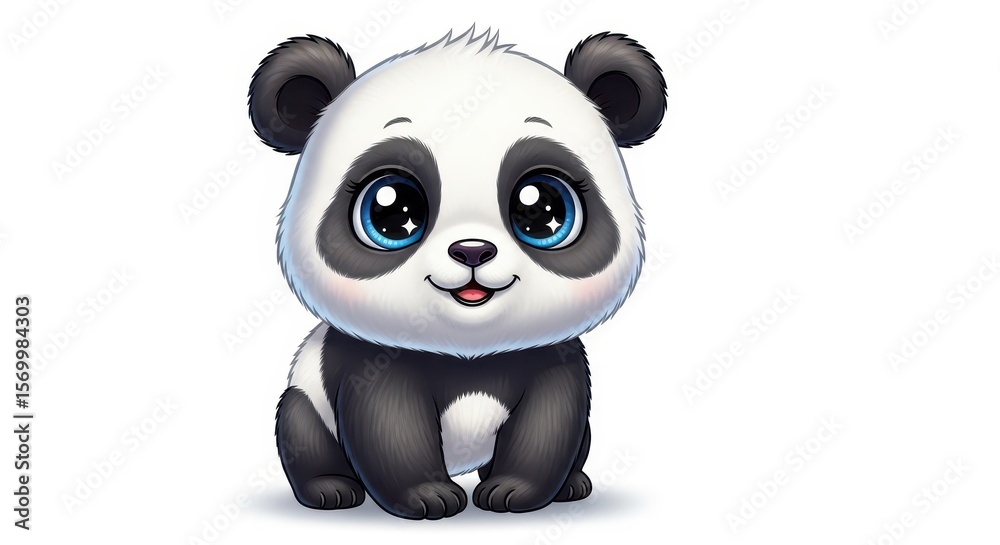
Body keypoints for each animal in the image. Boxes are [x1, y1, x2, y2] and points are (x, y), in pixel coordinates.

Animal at [247, 26, 666, 520]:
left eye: (544, 208)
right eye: (392, 209)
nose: (472, 251)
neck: (467, 355)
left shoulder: (552, 356)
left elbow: (551, 420)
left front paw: (512, 492)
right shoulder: (372, 360)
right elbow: (387, 425)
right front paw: (428, 497)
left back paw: (570, 485)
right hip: (307, 396)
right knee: (300, 426)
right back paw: (329, 489)